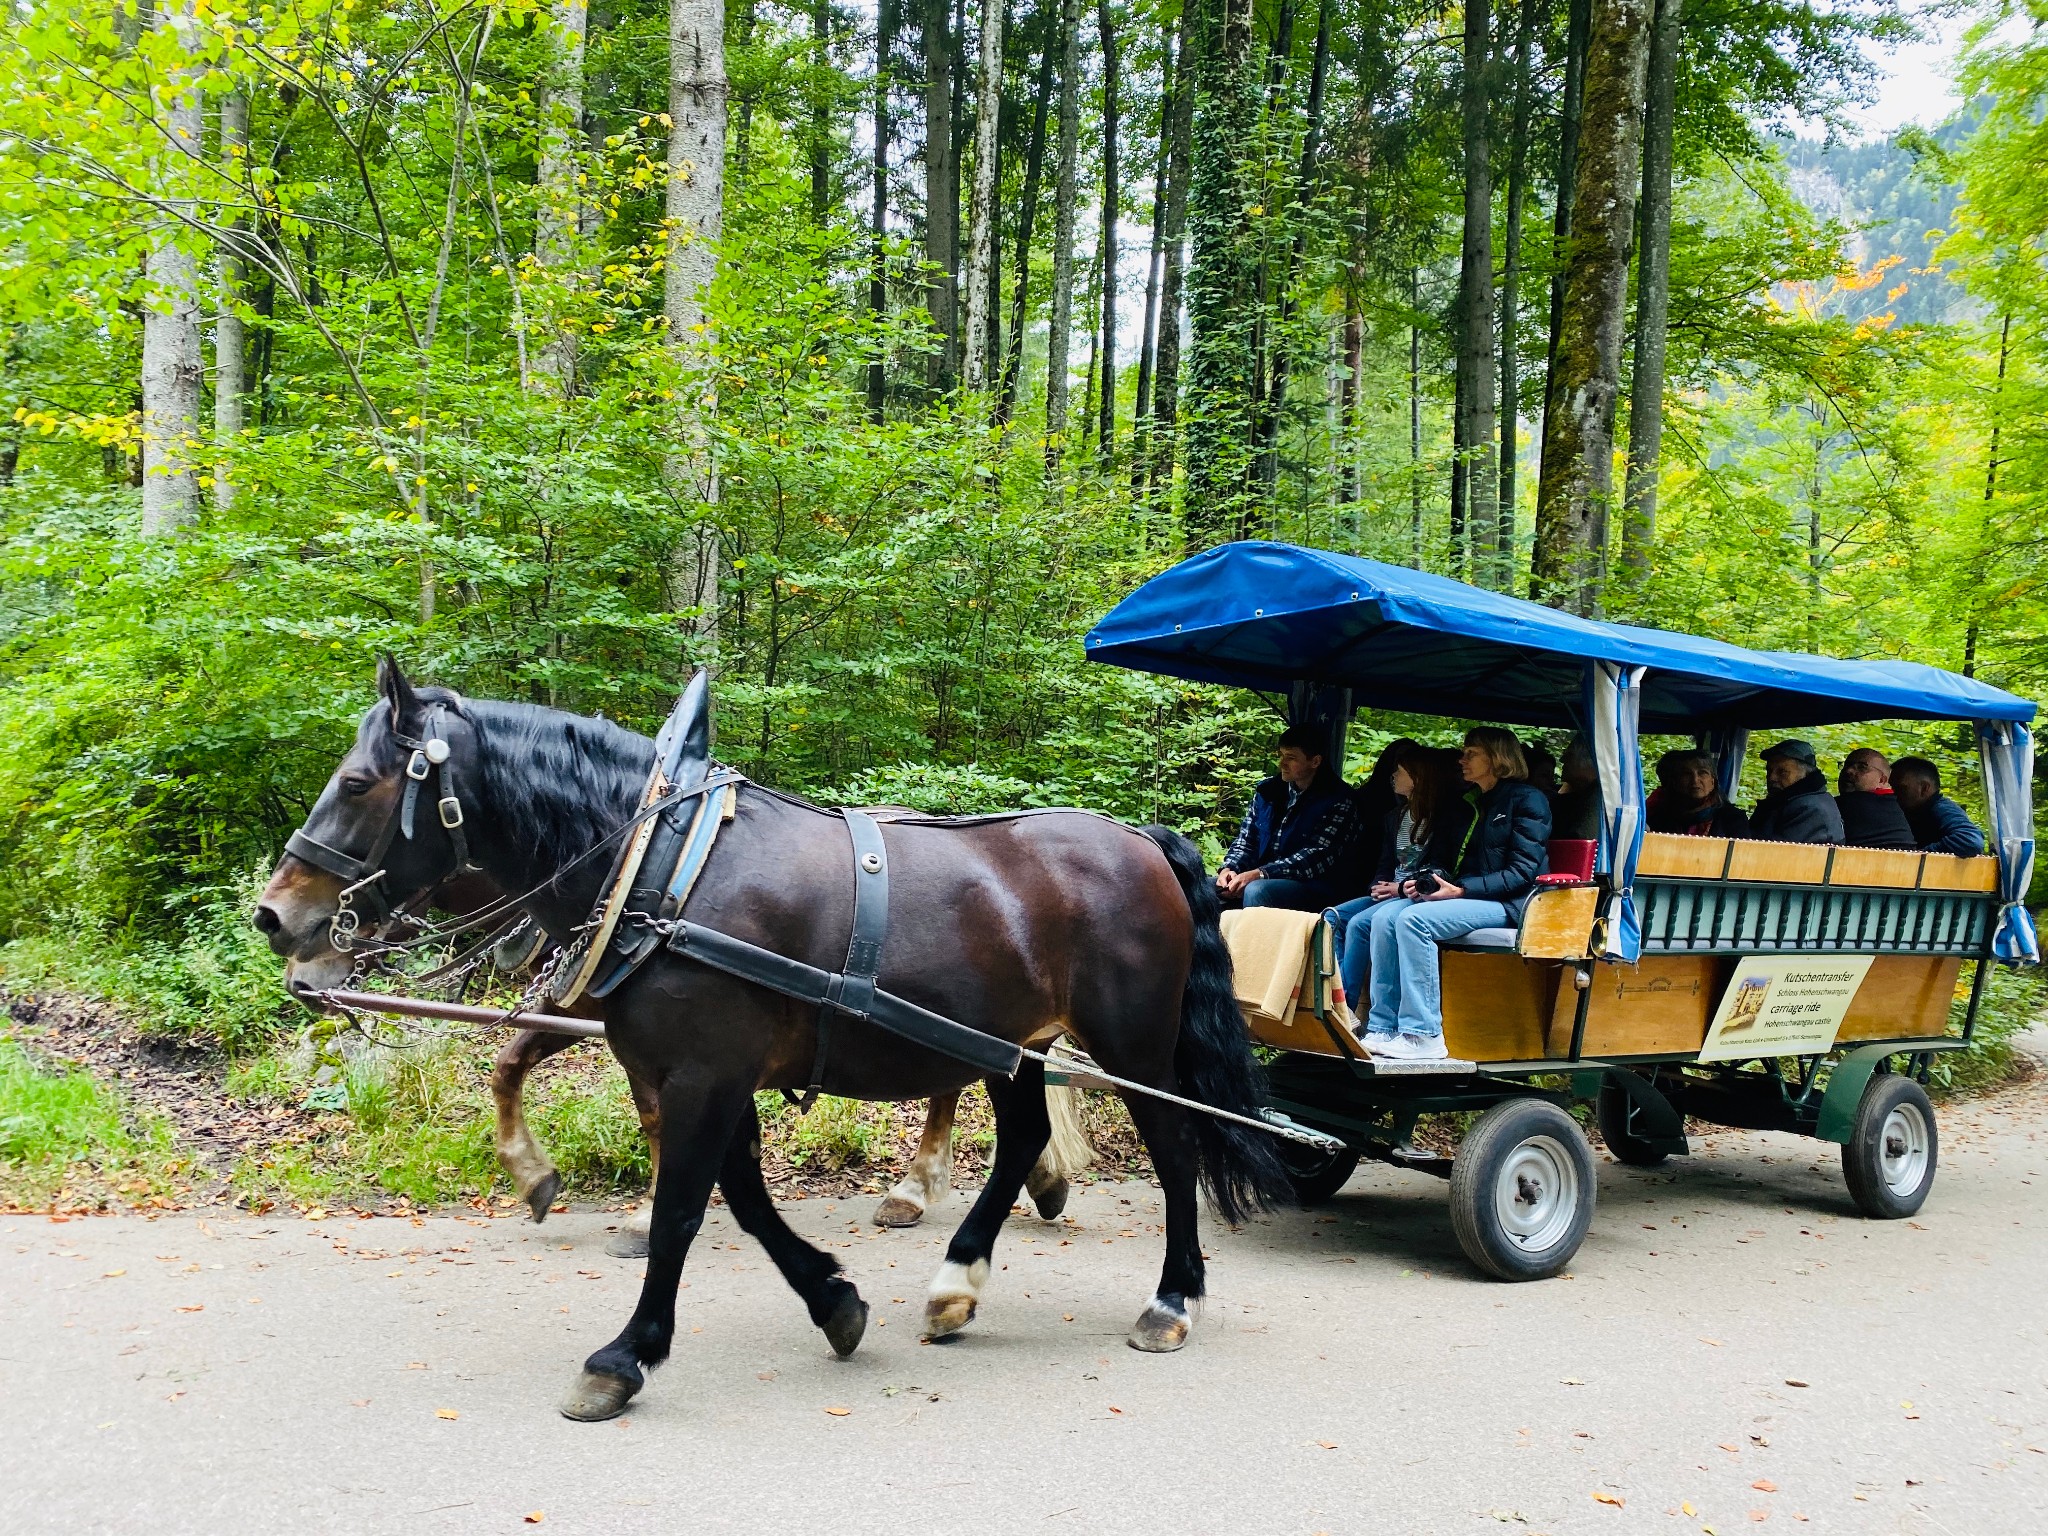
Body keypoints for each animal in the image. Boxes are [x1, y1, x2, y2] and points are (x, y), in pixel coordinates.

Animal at [256, 667, 1277, 1425]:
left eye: (358, 783)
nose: (275, 915)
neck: (665, 868)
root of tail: (1139, 839)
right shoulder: (691, 1074)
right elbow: (741, 1199)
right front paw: (834, 1301)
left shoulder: (706, 1072)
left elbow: (683, 1209)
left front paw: (624, 1356)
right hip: (1010, 1046)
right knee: (1025, 1137)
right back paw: (956, 1284)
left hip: (1132, 1047)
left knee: (1174, 1147)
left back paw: (1172, 1299)